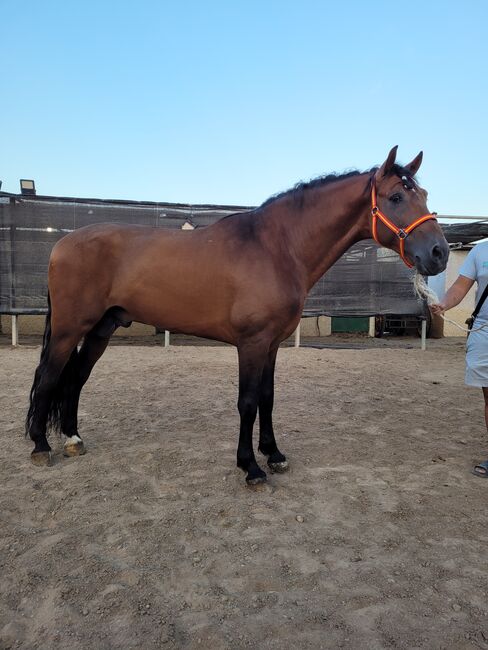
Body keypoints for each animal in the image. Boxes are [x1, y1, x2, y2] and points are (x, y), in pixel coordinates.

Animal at [26, 146, 449, 484]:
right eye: (396, 196)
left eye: (425, 195)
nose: (440, 253)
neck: (275, 248)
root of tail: (62, 244)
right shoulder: (252, 343)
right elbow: (247, 402)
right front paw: (251, 467)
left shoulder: (272, 345)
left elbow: (267, 398)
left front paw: (274, 454)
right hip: (68, 330)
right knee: (48, 378)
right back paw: (40, 447)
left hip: (102, 328)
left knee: (76, 379)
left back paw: (73, 439)